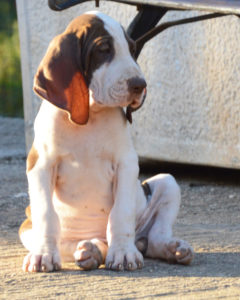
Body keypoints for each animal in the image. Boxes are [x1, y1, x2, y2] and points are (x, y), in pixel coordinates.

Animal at [18, 11, 193, 272]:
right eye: (103, 49)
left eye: (132, 49)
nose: (140, 85)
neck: (90, 117)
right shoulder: (40, 165)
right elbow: (47, 215)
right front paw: (44, 255)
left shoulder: (126, 164)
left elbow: (121, 213)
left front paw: (123, 253)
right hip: (27, 229)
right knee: (79, 243)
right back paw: (91, 250)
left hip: (167, 183)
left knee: (154, 237)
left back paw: (171, 248)